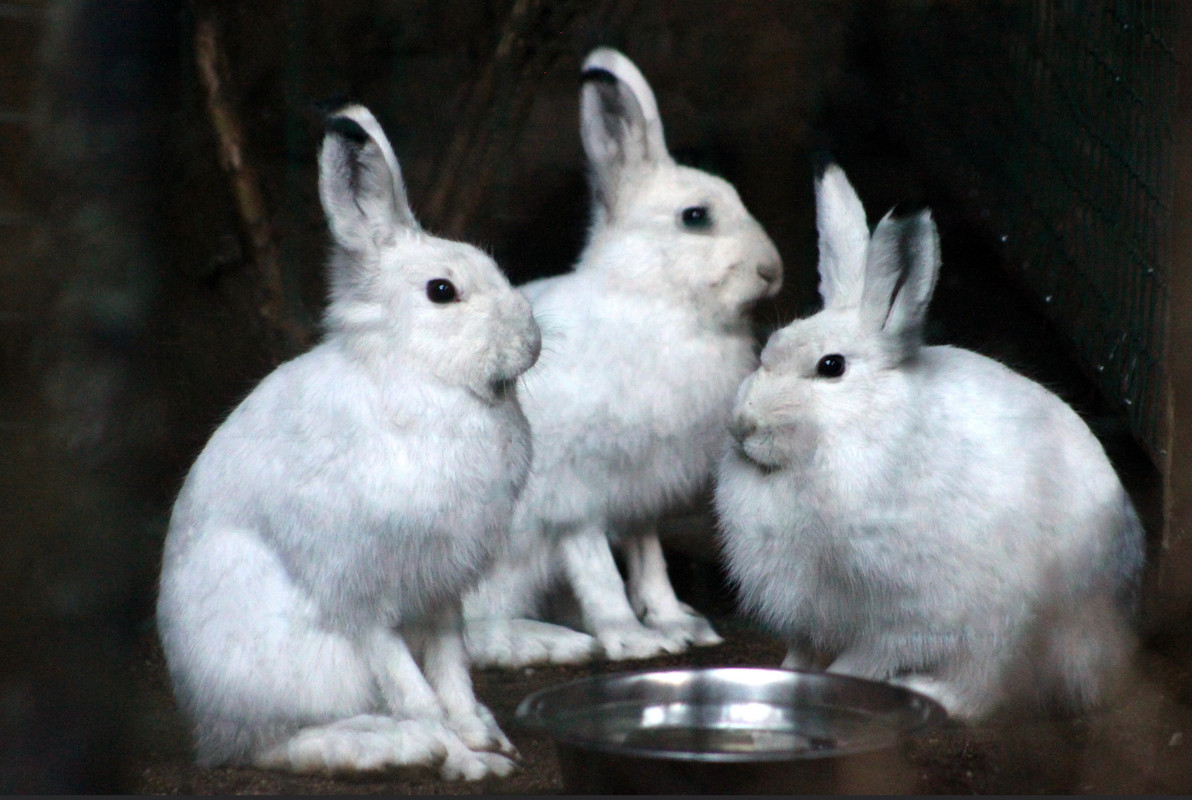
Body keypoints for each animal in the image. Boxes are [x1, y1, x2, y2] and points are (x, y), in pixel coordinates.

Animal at [155, 103, 541, 779]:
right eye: (442, 291)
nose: (531, 341)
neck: (422, 377)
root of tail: (206, 725)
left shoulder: (442, 592)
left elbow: (452, 673)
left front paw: (484, 740)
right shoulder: (361, 596)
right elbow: (415, 690)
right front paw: (467, 761)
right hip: (299, 664)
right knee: (277, 744)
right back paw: (391, 745)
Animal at [463, 47, 783, 668]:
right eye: (695, 217)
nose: (771, 271)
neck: (654, 301)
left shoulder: (640, 493)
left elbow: (647, 557)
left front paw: (679, 623)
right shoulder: (575, 493)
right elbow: (599, 569)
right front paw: (634, 639)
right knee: (472, 634)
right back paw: (550, 641)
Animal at [715, 162, 1145, 720]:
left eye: (831, 366)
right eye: (767, 349)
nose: (744, 425)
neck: (843, 440)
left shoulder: (911, 613)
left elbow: (867, 657)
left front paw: (844, 683)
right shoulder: (808, 608)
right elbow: (804, 651)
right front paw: (789, 675)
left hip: (1005, 632)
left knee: (976, 695)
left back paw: (924, 690)